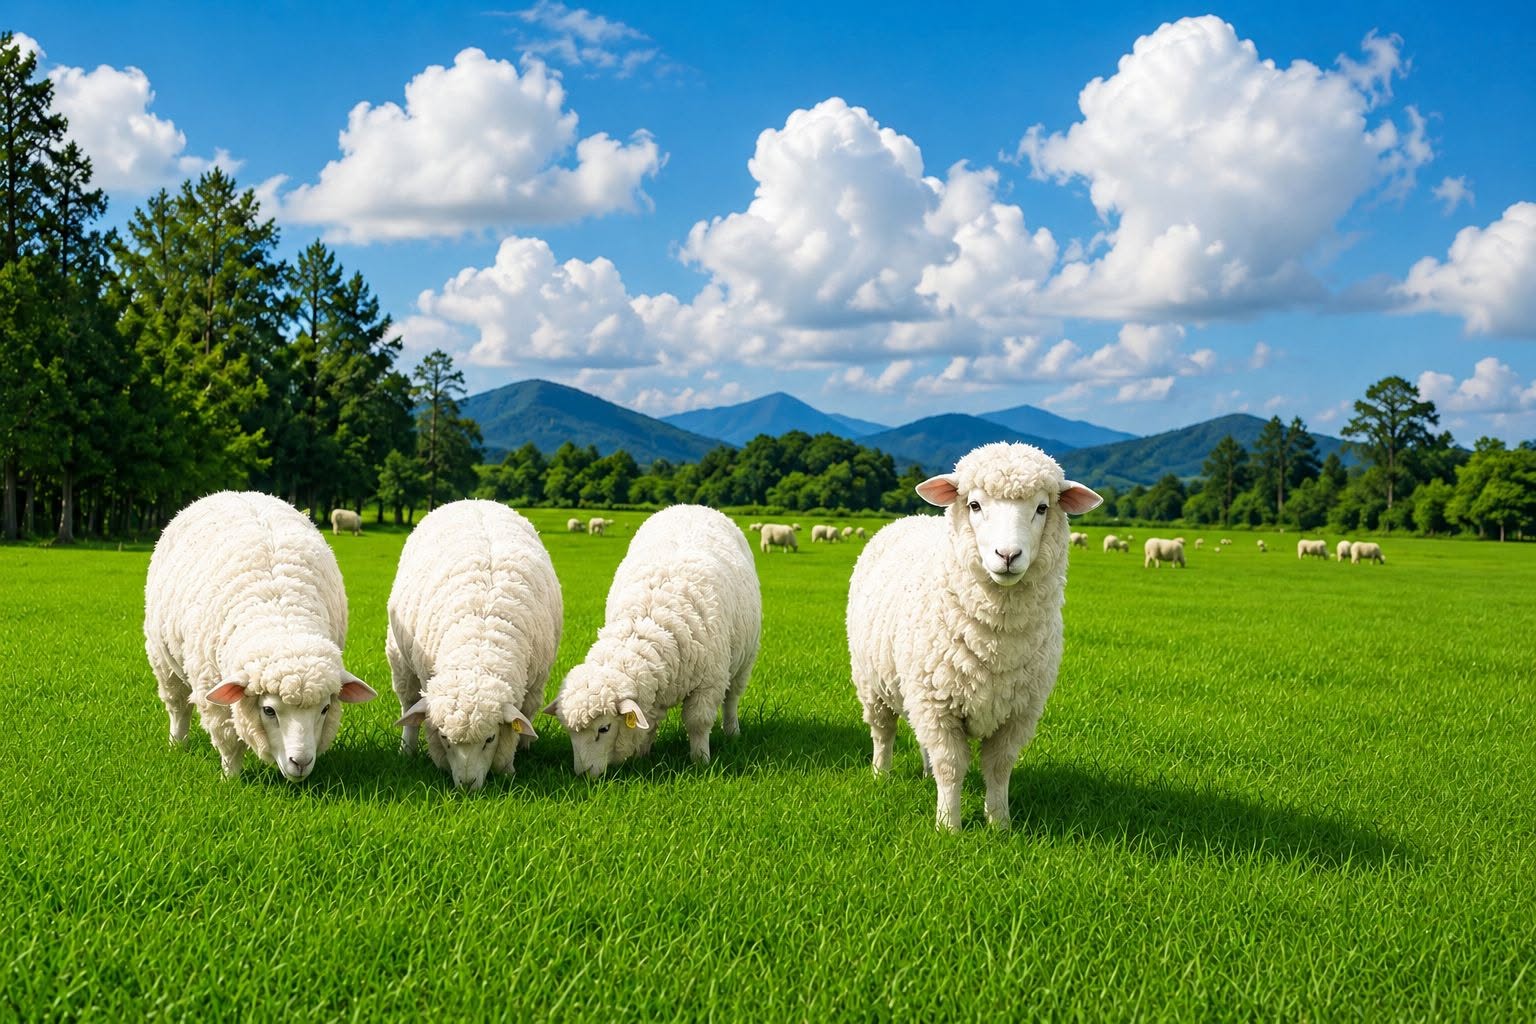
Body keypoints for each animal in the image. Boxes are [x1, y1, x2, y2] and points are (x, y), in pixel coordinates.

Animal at [145, 491, 377, 781]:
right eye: (268, 710)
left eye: (324, 709)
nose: (300, 762)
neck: (281, 619)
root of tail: (234, 493)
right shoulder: (214, 694)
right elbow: (228, 741)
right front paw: (230, 779)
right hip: (163, 660)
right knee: (177, 706)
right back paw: (177, 744)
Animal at [388, 500, 563, 791]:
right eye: (445, 739)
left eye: (490, 739)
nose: (467, 786)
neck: (479, 650)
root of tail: (476, 500)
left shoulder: (534, 681)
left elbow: (523, 719)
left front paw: (514, 760)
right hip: (400, 658)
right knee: (408, 704)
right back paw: (406, 750)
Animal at [546, 504, 761, 776]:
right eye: (569, 731)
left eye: (604, 728)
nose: (583, 774)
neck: (644, 627)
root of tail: (691, 506)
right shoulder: (655, 687)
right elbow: (648, 724)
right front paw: (644, 756)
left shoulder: (709, 682)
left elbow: (698, 723)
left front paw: (700, 760)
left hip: (745, 659)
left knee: (732, 698)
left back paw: (732, 731)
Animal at [847, 442, 1102, 831]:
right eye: (975, 505)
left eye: (1042, 507)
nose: (1008, 555)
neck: (996, 641)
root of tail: (910, 517)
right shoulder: (937, 706)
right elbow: (951, 767)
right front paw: (948, 826)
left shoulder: (1017, 713)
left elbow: (998, 768)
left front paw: (1000, 824)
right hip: (872, 682)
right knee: (883, 732)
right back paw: (881, 774)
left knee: (922, 742)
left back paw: (924, 773)